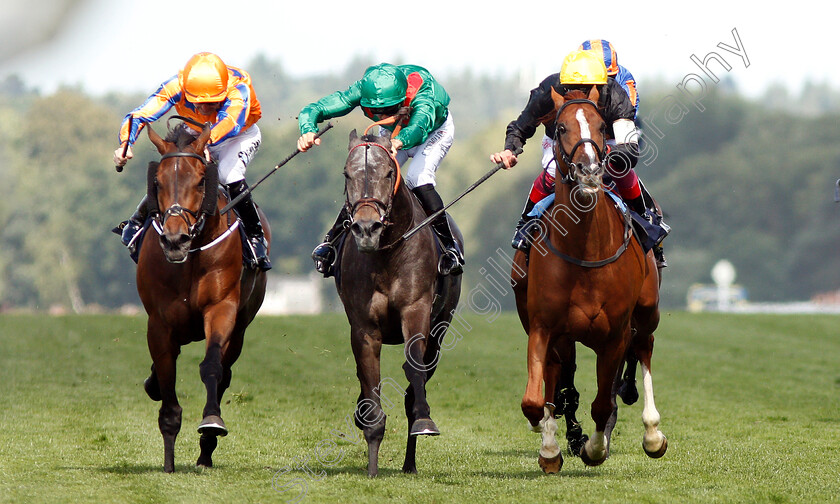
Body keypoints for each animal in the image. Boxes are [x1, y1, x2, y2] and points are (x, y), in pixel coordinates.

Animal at [137, 121, 270, 472]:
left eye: (200, 181)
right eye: (157, 181)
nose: (174, 240)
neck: (191, 257)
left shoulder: (221, 309)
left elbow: (211, 366)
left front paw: (211, 423)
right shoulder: (159, 323)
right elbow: (166, 374)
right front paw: (169, 460)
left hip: (240, 327)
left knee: (225, 370)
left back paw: (207, 450)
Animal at [336, 130, 466, 476]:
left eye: (388, 173)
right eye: (347, 174)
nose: (366, 229)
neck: (387, 254)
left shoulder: (416, 311)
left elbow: (413, 368)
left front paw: (424, 420)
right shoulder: (363, 328)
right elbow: (370, 380)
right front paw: (371, 460)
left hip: (440, 329)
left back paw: (410, 461)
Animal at [508, 87, 668, 472]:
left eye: (600, 126)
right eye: (561, 126)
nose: (590, 170)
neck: (585, 252)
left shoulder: (615, 334)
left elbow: (603, 402)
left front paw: (594, 448)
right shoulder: (543, 326)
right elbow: (536, 399)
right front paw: (550, 443)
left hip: (647, 312)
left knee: (644, 349)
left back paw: (652, 433)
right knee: (558, 378)